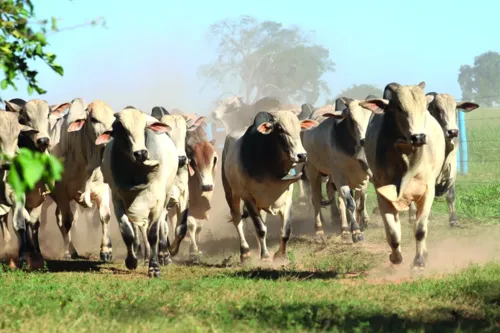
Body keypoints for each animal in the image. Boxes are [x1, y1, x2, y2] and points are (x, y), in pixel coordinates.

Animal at [48, 99, 115, 262]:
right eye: (94, 119)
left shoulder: (103, 188)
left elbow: (105, 216)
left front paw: (106, 251)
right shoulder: (61, 191)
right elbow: (67, 221)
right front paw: (68, 253)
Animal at [94, 107, 183, 276]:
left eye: (144, 128)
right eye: (120, 129)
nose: (141, 153)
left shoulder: (157, 201)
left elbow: (153, 234)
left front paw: (154, 267)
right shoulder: (117, 199)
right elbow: (127, 233)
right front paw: (131, 261)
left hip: (166, 195)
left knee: (161, 225)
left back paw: (163, 255)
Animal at [222, 110, 316, 260]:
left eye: (299, 128)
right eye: (280, 129)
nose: (301, 155)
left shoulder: (287, 197)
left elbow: (286, 230)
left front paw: (281, 256)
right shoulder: (248, 198)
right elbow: (260, 229)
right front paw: (265, 256)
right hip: (231, 193)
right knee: (237, 219)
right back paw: (245, 252)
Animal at [360, 81, 446, 268]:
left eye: (423, 107)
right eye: (399, 107)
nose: (418, 137)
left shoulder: (428, 191)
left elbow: (420, 229)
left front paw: (419, 261)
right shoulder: (383, 193)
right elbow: (393, 233)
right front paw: (396, 257)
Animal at [406, 91, 480, 226]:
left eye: (455, 108)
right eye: (437, 109)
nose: (453, 132)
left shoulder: (452, 168)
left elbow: (450, 195)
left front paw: (453, 220)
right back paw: (412, 216)